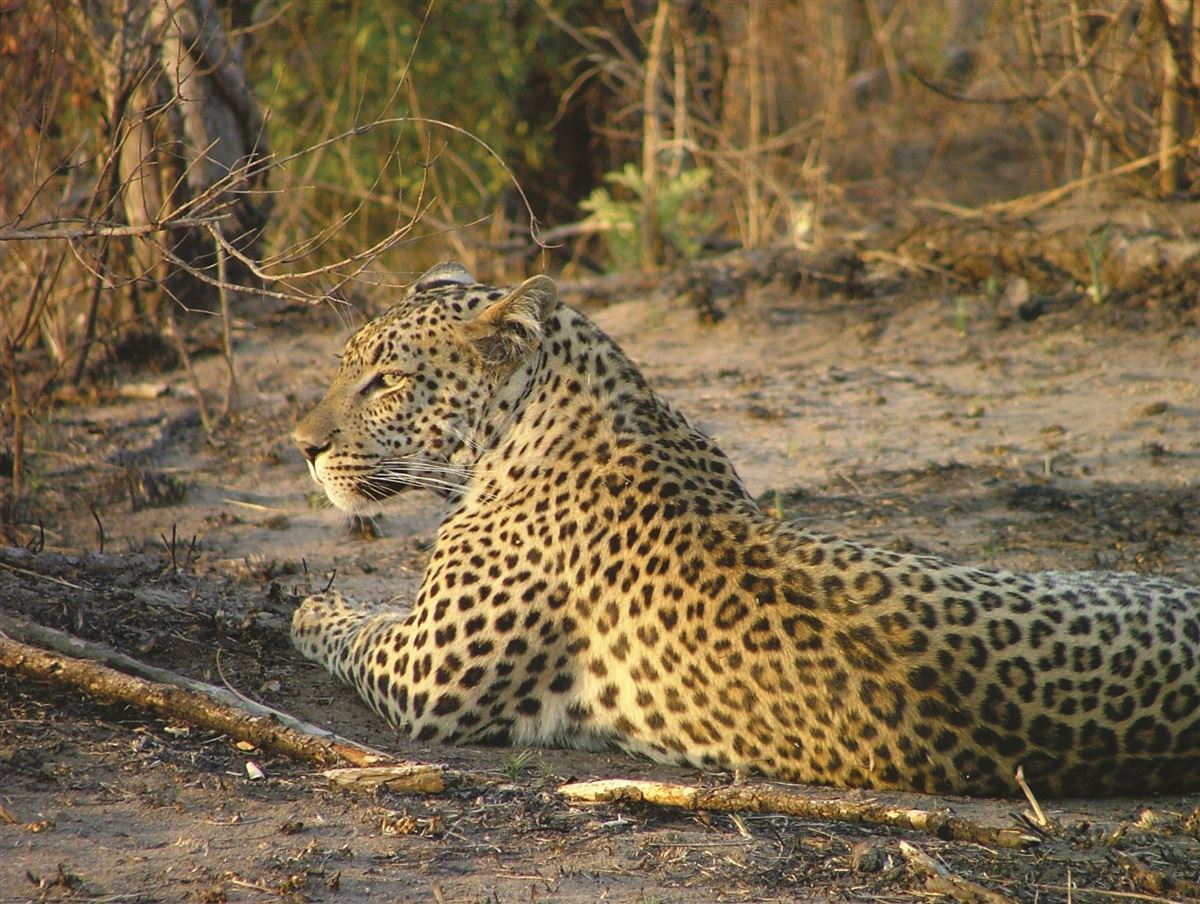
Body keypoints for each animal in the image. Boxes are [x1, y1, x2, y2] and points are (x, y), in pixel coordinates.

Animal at [291, 262, 1200, 797]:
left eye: (387, 381)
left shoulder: (429, 680)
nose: (303, 446)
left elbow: (354, 631)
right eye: (345, 367)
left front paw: (310, 605)